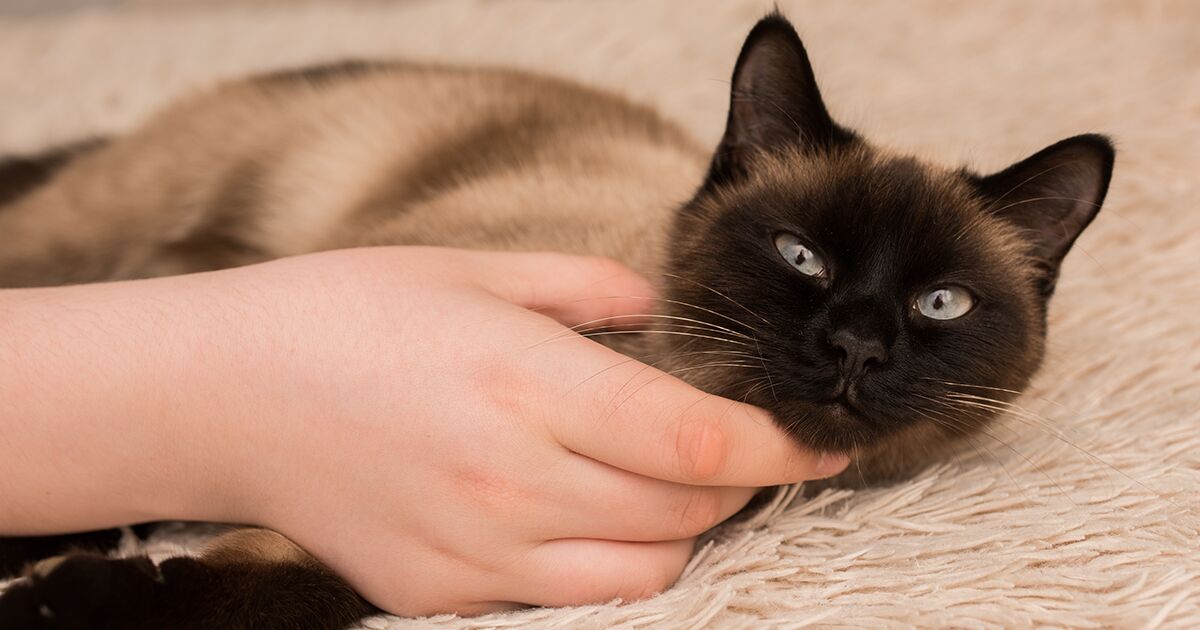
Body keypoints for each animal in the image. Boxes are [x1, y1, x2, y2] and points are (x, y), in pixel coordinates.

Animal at [0, 11, 1113, 628]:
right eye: (802, 256)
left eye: (940, 302)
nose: (856, 348)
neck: (672, 373)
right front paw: (50, 592)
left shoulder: (380, 545)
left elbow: (295, 589)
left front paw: (58, 595)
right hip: (101, 243)